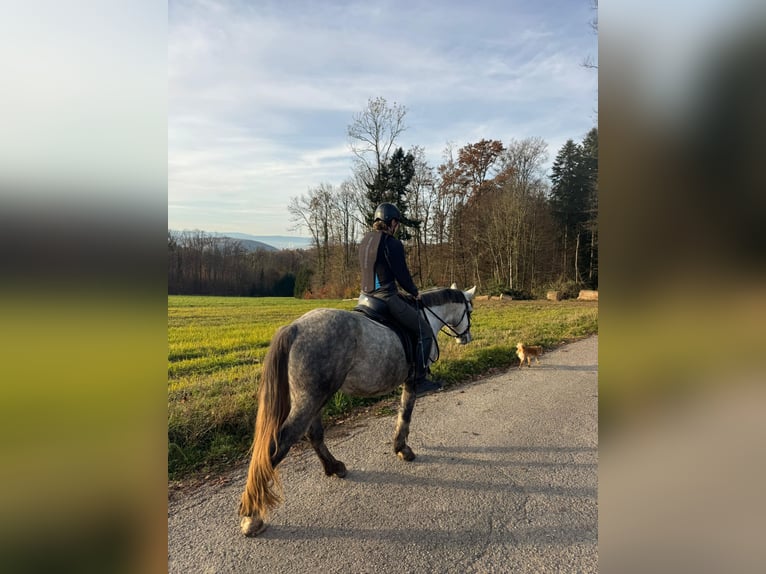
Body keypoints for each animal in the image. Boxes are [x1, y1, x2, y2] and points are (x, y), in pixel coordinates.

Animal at [239, 283, 476, 536]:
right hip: (311, 398)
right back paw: (252, 516)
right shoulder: (412, 381)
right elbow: (405, 413)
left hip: (314, 397)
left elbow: (402, 412)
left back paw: (334, 467)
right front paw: (402, 449)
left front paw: (399, 447)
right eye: (469, 310)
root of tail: (295, 328)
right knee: (279, 444)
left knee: (314, 434)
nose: (466, 338)